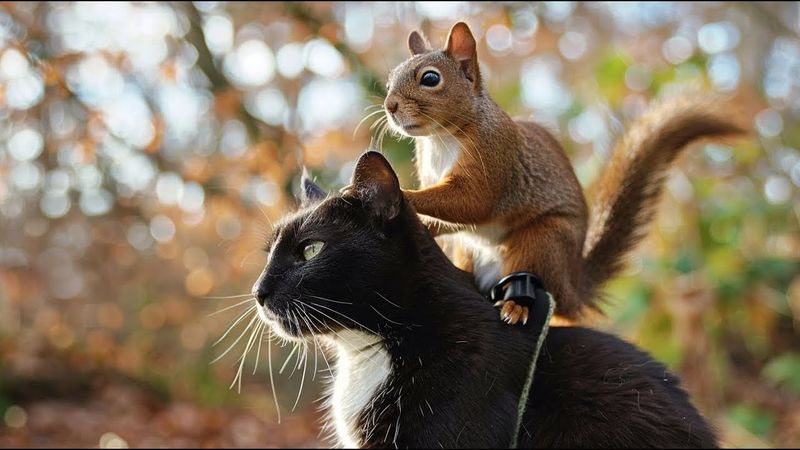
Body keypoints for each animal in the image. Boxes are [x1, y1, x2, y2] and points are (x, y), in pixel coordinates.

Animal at [382, 22, 744, 324]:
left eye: (430, 79)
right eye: (389, 81)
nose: (389, 106)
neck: (440, 137)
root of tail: (572, 287)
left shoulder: (492, 156)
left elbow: (472, 202)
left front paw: (403, 193)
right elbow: (454, 216)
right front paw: (424, 222)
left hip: (541, 241)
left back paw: (516, 307)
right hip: (472, 250)